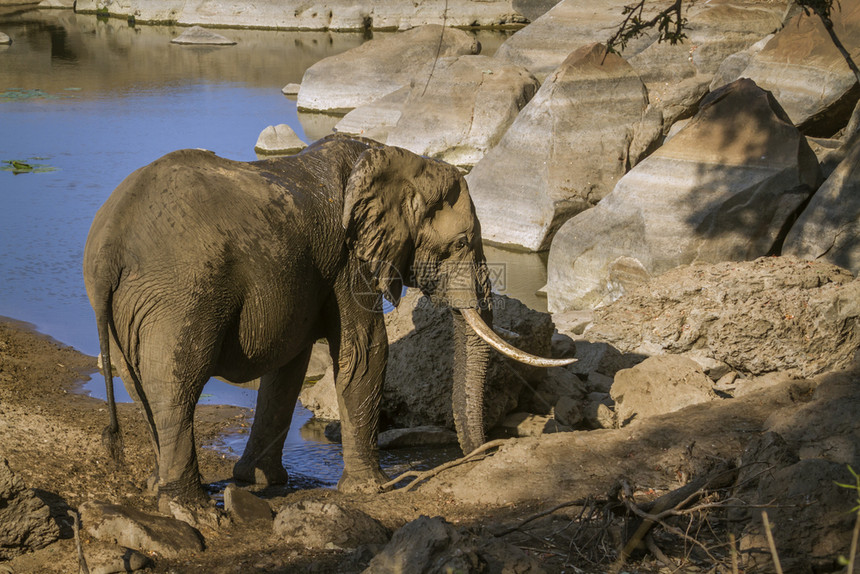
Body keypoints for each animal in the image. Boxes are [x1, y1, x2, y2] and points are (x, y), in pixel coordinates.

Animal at [84, 136, 572, 516]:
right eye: (460, 243)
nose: (484, 453)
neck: (393, 157)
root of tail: (108, 245)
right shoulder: (347, 260)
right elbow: (366, 351)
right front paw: (373, 489)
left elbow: (289, 368)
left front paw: (261, 481)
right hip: (180, 296)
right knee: (176, 385)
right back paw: (191, 511)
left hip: (130, 307)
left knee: (142, 385)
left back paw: (159, 488)